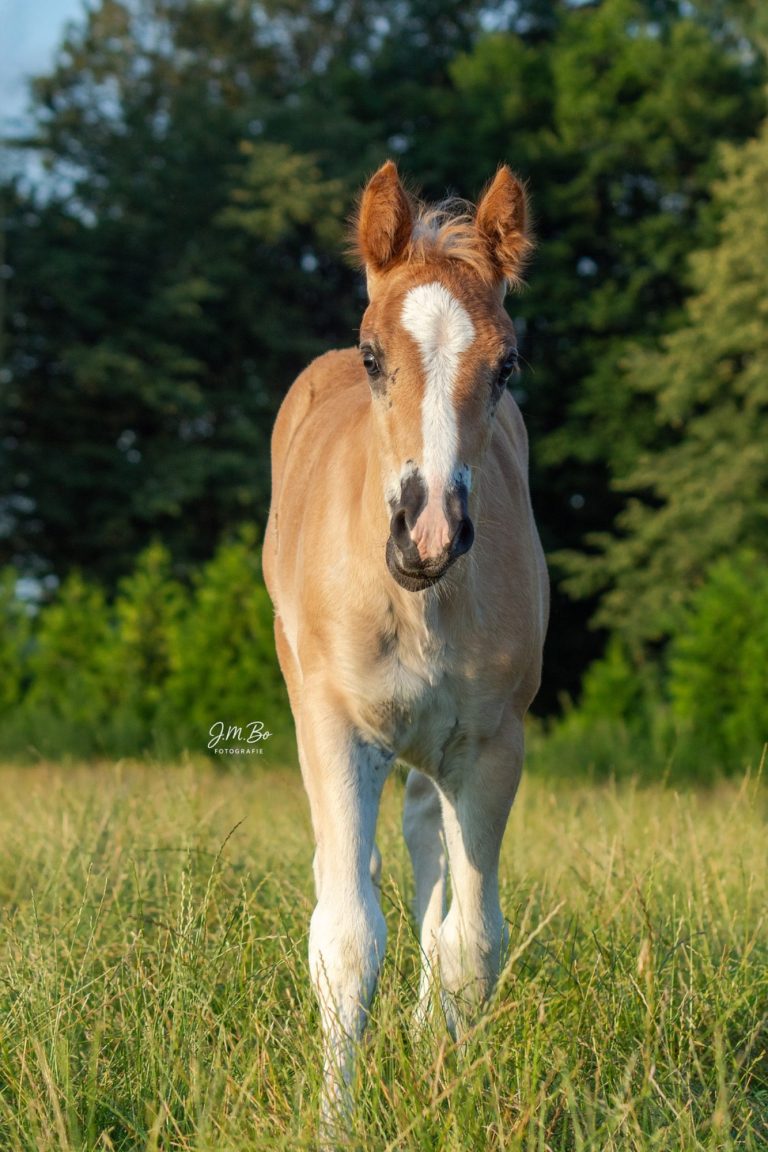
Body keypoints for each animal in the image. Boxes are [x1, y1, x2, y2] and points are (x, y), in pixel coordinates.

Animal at [263, 160, 548, 1136]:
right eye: (373, 355)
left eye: (506, 365)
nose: (427, 533)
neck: (418, 600)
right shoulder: (337, 728)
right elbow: (346, 939)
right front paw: (333, 1126)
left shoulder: (492, 746)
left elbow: (472, 940)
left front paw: (449, 1093)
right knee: (349, 872)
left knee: (428, 850)